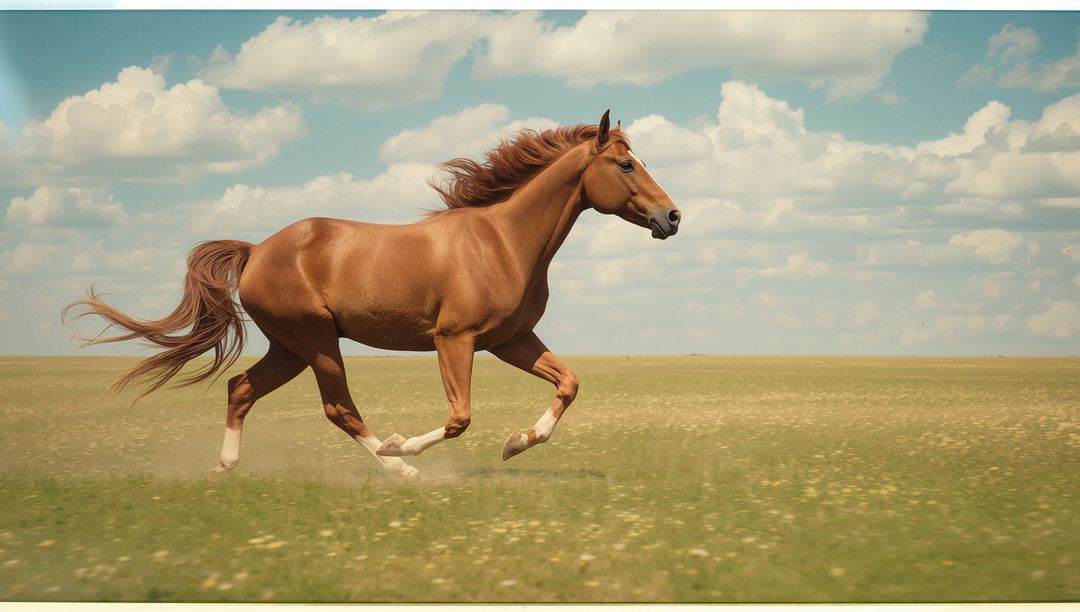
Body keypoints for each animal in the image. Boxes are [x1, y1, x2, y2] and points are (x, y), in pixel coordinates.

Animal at [64, 110, 681, 479]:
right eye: (626, 164)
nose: (672, 217)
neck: (502, 241)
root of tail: (256, 250)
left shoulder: (511, 339)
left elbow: (569, 384)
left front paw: (516, 442)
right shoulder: (454, 339)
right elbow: (459, 417)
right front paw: (406, 448)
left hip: (290, 347)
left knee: (241, 389)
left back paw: (224, 468)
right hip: (315, 340)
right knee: (338, 408)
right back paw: (396, 466)